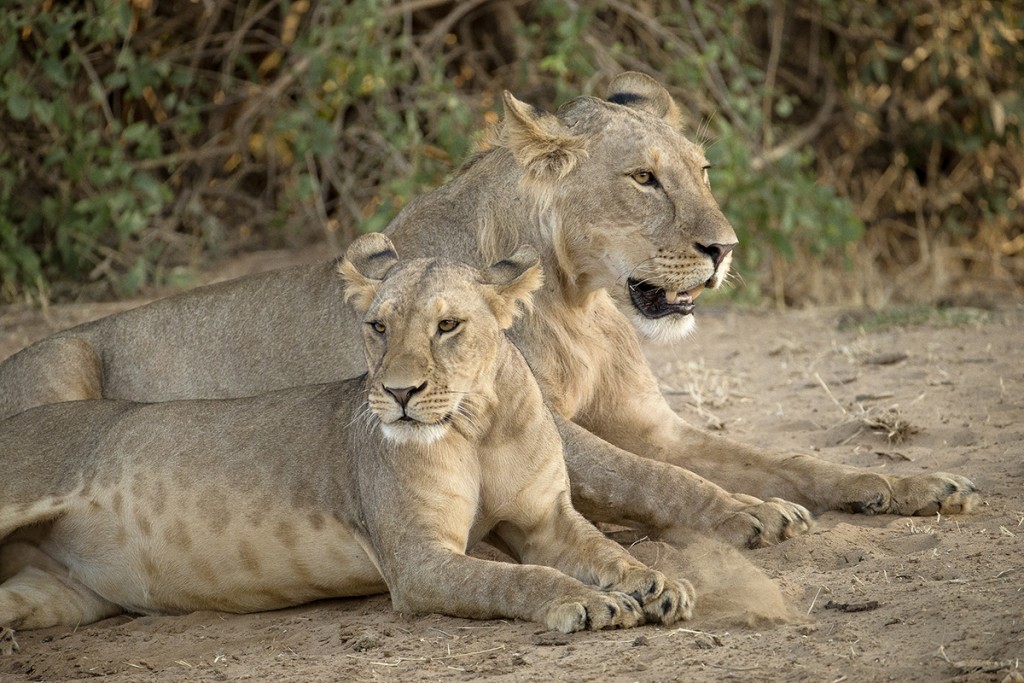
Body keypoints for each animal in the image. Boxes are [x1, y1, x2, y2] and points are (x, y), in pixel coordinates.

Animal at [0, 70, 974, 548]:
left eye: (701, 170)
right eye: (643, 178)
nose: (723, 247)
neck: (583, 302)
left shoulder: (650, 422)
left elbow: (778, 455)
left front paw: (905, 483)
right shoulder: (542, 424)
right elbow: (659, 478)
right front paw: (749, 515)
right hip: (64, 362)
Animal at [0, 236, 696, 655]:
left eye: (448, 325)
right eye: (377, 326)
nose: (399, 393)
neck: (477, 425)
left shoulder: (544, 519)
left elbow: (605, 550)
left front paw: (659, 584)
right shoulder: (417, 561)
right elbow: (519, 579)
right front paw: (587, 601)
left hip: (57, 596)